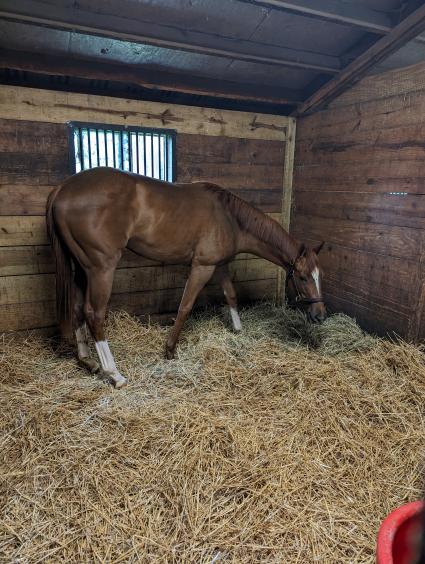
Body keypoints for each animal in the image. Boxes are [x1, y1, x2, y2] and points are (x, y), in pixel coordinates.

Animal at [46, 166, 324, 388]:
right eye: (302, 277)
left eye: (318, 275)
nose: (320, 315)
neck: (229, 216)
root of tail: (62, 189)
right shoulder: (202, 266)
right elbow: (185, 306)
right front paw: (170, 349)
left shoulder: (219, 265)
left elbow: (231, 296)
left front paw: (238, 329)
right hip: (101, 269)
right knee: (94, 314)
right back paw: (114, 373)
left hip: (82, 269)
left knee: (77, 310)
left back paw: (87, 361)